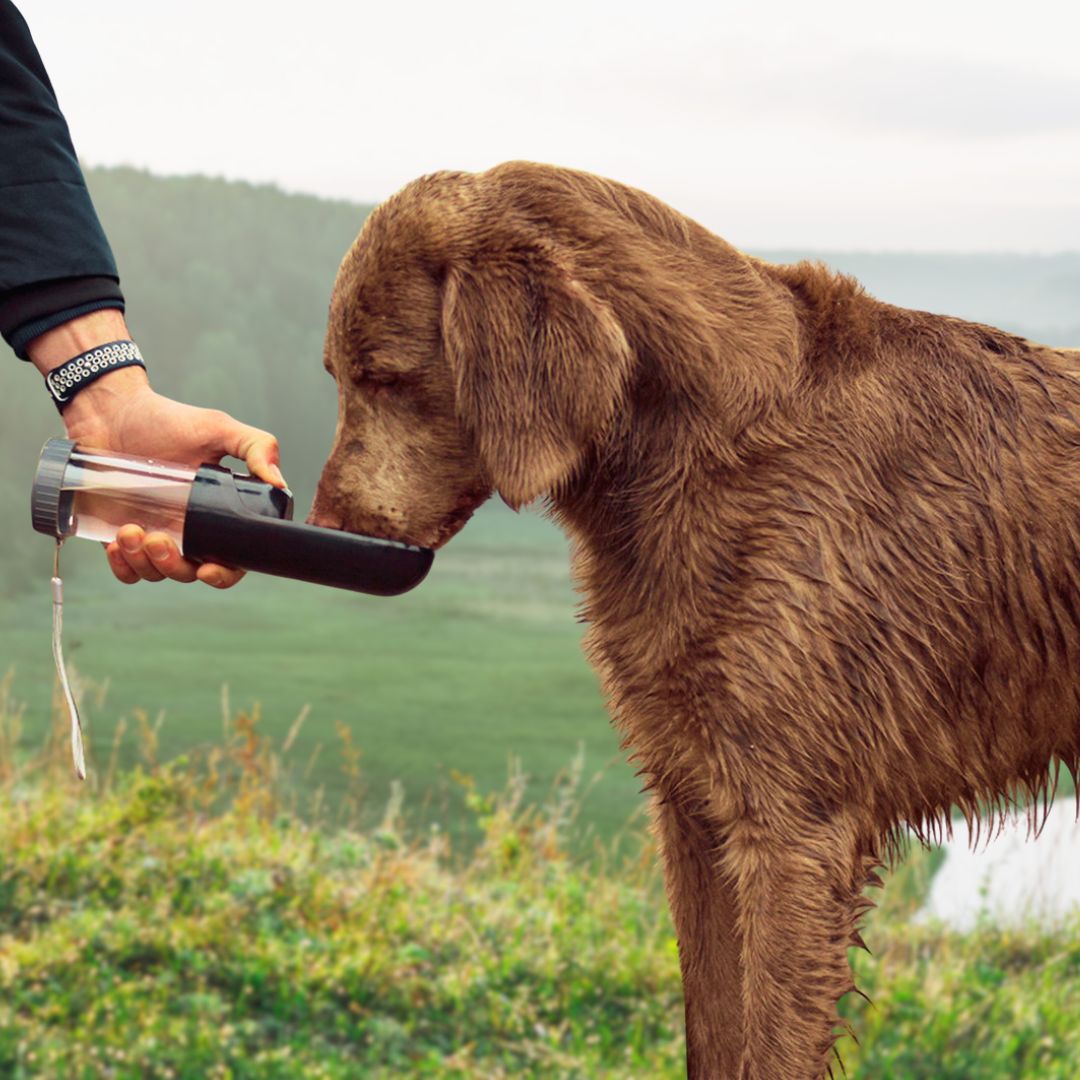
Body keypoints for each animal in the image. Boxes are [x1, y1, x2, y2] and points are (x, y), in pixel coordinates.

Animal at [308, 162, 1080, 1080]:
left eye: (385, 376)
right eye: (336, 373)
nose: (322, 525)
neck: (704, 448)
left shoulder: (794, 832)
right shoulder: (694, 810)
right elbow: (711, 1028)